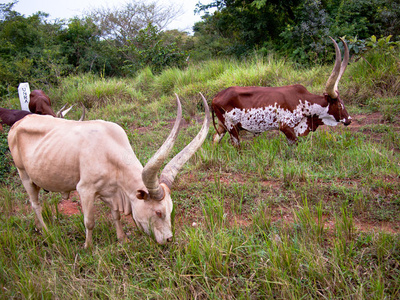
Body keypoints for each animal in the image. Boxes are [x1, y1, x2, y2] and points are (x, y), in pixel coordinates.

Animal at [7, 94, 211, 248]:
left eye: (170, 209)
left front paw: (122, 238)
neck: (108, 149)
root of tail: (18, 123)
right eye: (158, 212)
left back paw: (37, 227)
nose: (169, 239)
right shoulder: (85, 190)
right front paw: (88, 247)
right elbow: (89, 221)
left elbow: (116, 215)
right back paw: (47, 232)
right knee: (35, 204)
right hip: (23, 174)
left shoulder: (112, 191)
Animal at [211, 37, 352, 147]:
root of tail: (215, 97)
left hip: (223, 127)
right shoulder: (286, 127)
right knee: (236, 145)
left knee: (214, 140)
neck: (305, 102)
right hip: (232, 127)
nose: (349, 119)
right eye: (339, 105)